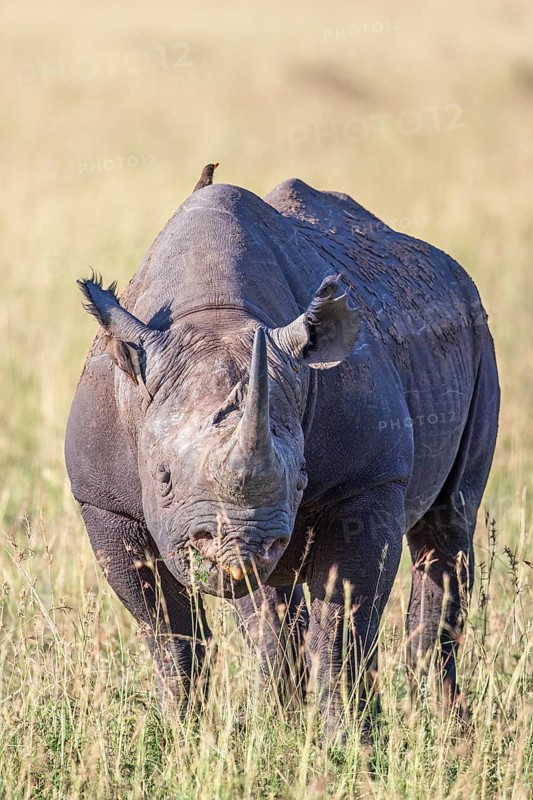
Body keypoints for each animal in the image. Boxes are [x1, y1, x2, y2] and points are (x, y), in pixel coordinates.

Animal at [65, 177, 499, 731]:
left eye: (301, 481)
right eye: (162, 479)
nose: (239, 547)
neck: (216, 314)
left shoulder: (369, 480)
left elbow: (342, 626)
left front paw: (351, 739)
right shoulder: (103, 500)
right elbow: (168, 632)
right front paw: (178, 733)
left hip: (476, 331)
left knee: (448, 524)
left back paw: (444, 727)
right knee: (267, 601)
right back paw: (282, 719)